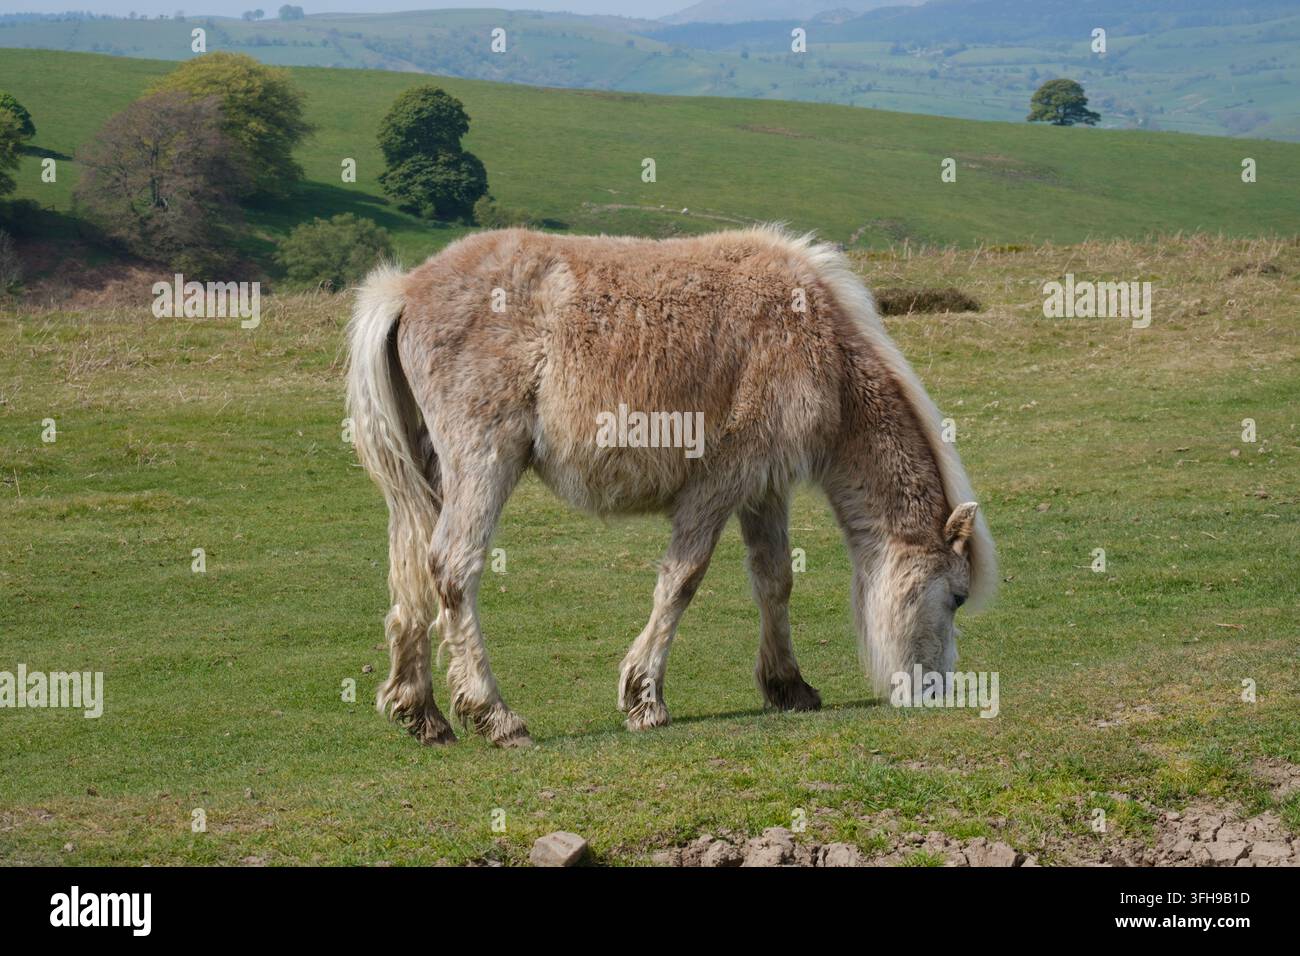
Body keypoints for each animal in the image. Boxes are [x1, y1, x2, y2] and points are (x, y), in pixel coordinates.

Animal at [345, 225, 995, 747]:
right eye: (957, 598)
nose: (937, 691)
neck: (815, 338)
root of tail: (405, 290)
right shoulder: (719, 483)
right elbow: (682, 581)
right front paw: (645, 699)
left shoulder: (763, 488)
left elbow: (775, 580)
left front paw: (788, 686)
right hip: (483, 463)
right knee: (454, 568)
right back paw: (496, 717)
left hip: (431, 476)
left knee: (411, 577)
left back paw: (423, 714)